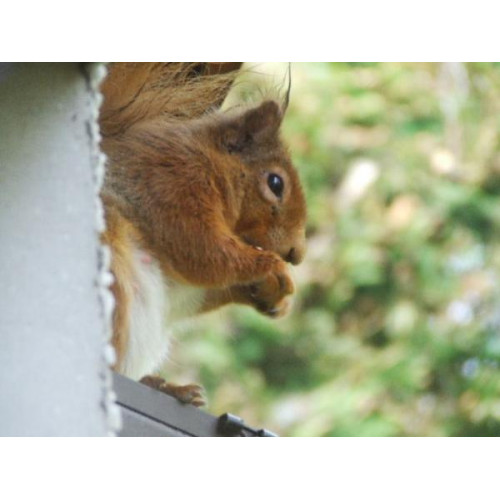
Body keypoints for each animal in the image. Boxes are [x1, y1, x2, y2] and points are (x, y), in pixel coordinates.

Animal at [99, 63, 306, 406]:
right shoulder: (170, 182)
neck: (212, 161)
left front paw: (269, 296)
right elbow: (202, 251)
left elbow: (192, 291)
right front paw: (272, 268)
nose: (297, 254)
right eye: (276, 183)